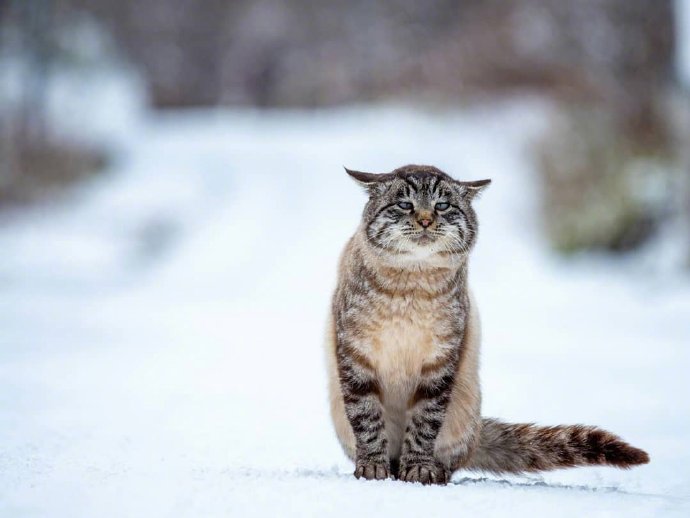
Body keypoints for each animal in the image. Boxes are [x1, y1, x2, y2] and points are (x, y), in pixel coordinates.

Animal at [326, 166, 648, 488]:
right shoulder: (355, 356)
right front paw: (372, 468)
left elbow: (424, 425)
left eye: (442, 205)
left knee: (450, 457)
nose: (426, 220)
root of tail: (478, 431)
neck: (411, 287)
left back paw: (433, 470)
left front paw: (418, 470)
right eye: (405, 205)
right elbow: (367, 421)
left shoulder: (441, 363)